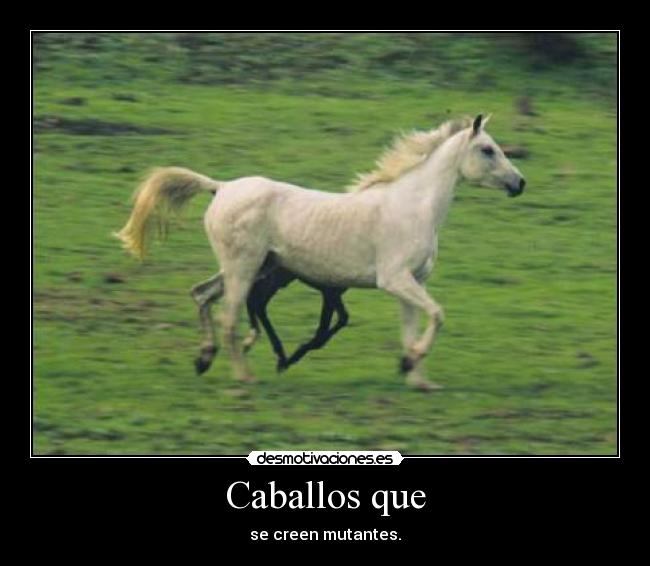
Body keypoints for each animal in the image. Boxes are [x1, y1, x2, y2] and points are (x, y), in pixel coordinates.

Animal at [116, 114, 525, 390]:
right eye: (487, 149)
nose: (520, 183)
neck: (411, 207)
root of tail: (222, 187)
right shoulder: (394, 279)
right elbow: (438, 315)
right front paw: (410, 364)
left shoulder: (411, 284)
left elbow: (412, 329)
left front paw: (416, 376)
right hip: (243, 268)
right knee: (229, 317)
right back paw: (245, 377)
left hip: (252, 268)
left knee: (201, 295)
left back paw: (204, 359)